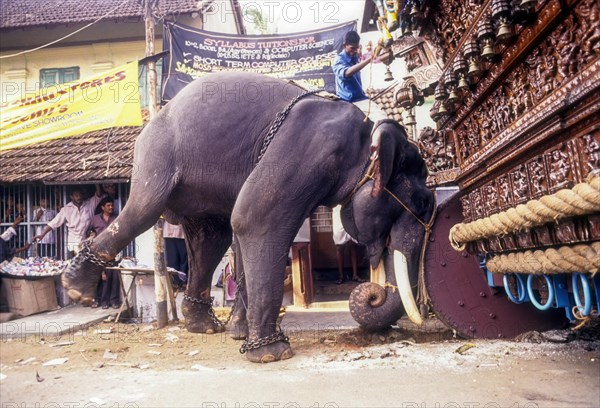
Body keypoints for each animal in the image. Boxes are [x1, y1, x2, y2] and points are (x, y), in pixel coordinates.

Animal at [63, 71, 434, 364]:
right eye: (421, 202)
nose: (374, 293)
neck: (367, 132)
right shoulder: (309, 148)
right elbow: (255, 219)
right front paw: (272, 354)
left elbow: (241, 229)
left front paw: (240, 334)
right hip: (156, 154)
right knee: (144, 211)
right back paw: (77, 289)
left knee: (212, 237)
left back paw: (205, 326)